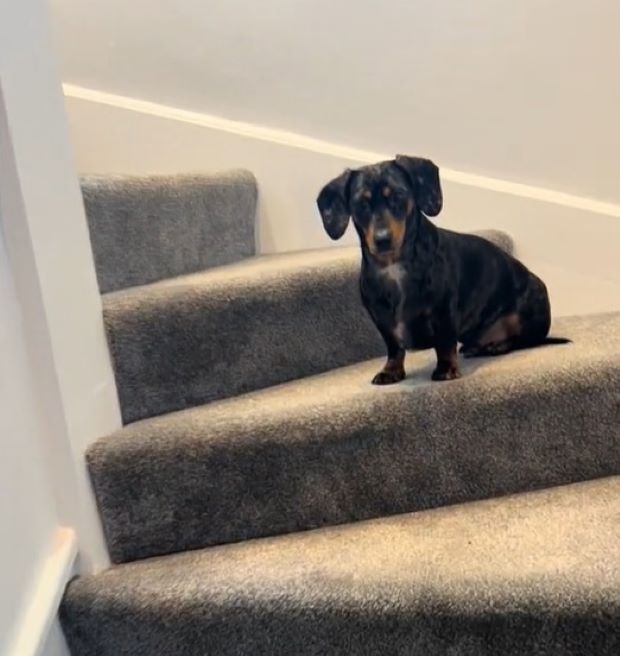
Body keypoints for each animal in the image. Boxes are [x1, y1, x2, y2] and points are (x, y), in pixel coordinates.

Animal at [318, 157, 568, 384]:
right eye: (361, 205)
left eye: (398, 196)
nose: (382, 240)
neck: (393, 266)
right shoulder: (381, 320)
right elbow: (394, 348)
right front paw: (391, 371)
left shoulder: (444, 311)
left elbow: (445, 343)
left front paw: (446, 369)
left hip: (531, 310)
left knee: (520, 340)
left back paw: (497, 346)